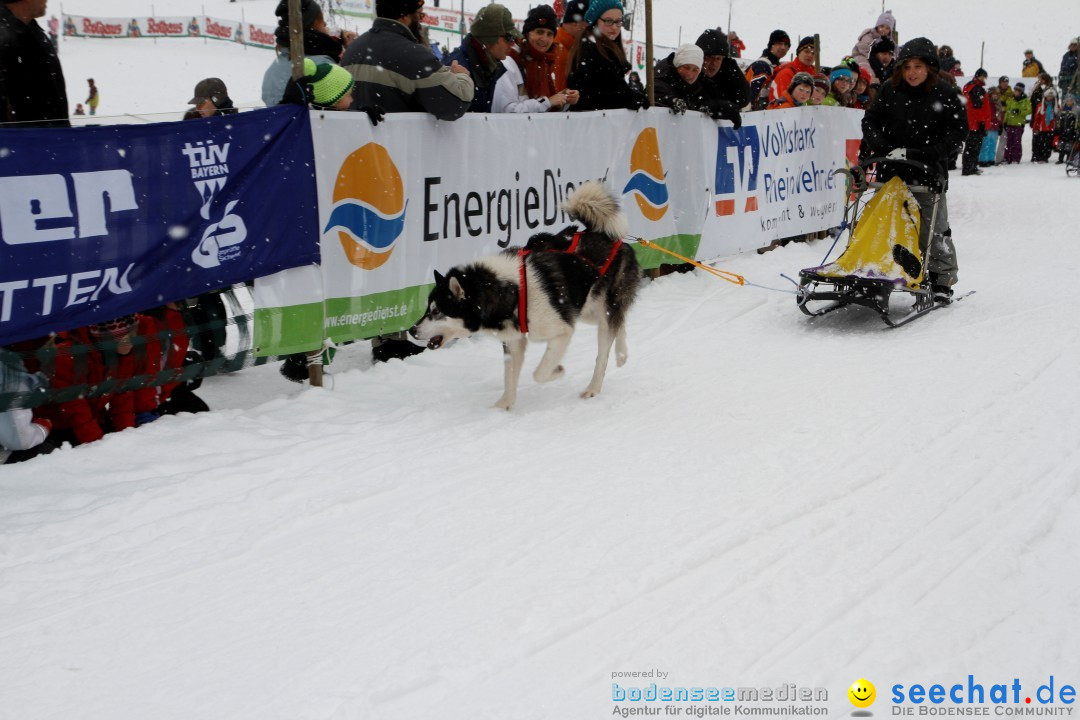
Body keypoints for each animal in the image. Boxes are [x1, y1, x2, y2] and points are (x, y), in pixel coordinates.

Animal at [408, 180, 635, 410]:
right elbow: (509, 378)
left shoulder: (562, 331)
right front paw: (502, 407)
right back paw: (622, 354)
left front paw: (558, 370)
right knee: (619, 322)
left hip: (599, 308)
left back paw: (594, 385)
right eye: (427, 309)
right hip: (586, 309)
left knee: (604, 347)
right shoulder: (514, 342)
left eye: (437, 311)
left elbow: (539, 373)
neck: (511, 290)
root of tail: (606, 235)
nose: (411, 330)